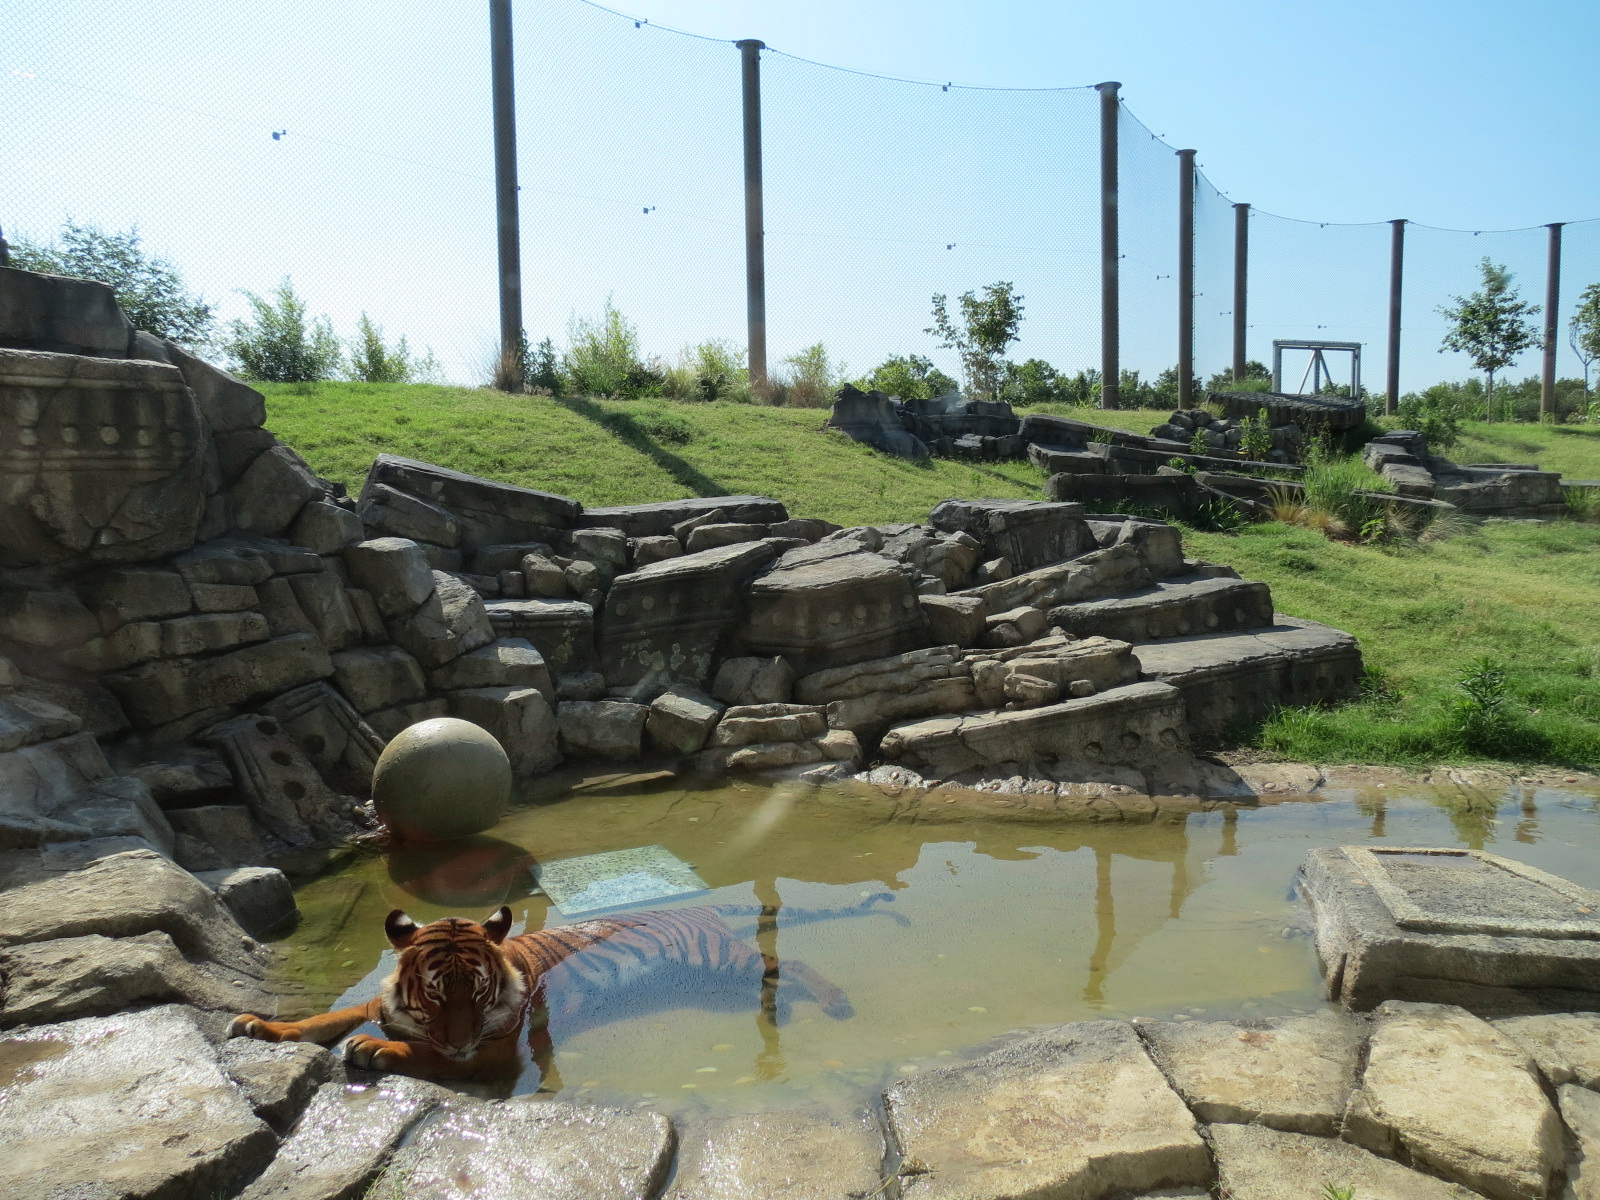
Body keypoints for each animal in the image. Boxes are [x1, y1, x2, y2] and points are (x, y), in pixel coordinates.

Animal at [229, 893, 900, 1083]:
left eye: (479, 994)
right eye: (438, 993)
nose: (461, 1040)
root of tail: (700, 904)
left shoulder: (500, 1052)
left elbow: (426, 1055)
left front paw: (375, 1048)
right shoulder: (375, 1003)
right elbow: (322, 1019)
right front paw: (259, 1025)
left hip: (720, 963)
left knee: (793, 965)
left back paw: (836, 1001)